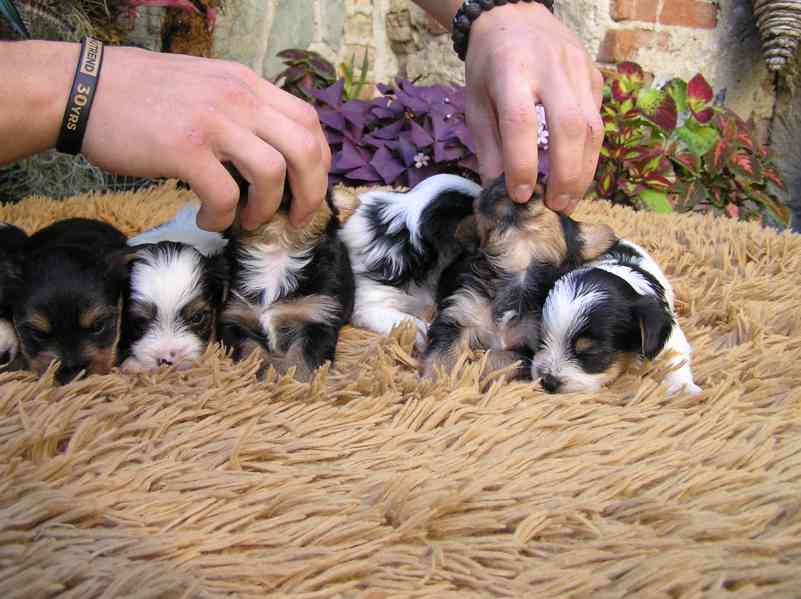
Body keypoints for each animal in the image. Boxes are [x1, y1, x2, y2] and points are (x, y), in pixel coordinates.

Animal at [220, 166, 354, 382]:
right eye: (243, 183)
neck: (277, 250)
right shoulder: (235, 317)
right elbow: (251, 349)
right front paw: (263, 373)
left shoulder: (317, 318)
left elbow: (302, 360)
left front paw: (294, 383)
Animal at [532, 239, 700, 398]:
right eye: (540, 341)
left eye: (592, 353)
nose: (548, 382)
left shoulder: (670, 339)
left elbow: (674, 359)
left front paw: (683, 389)